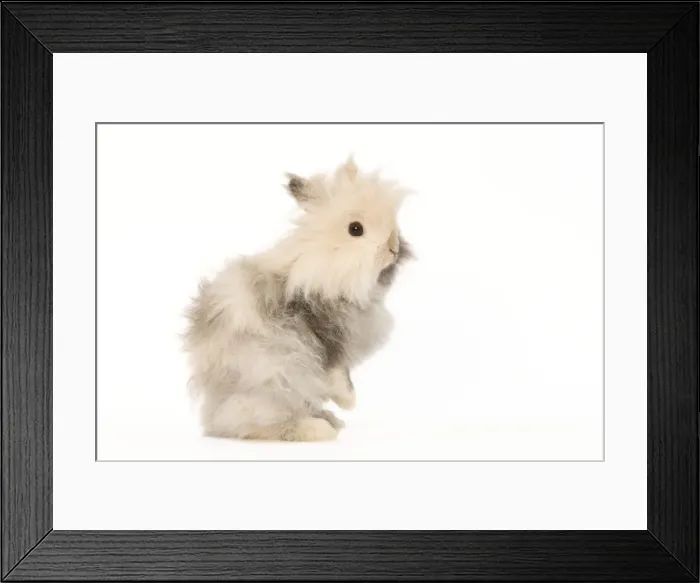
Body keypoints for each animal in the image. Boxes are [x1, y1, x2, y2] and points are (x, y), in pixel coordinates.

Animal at [183, 156, 412, 441]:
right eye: (355, 229)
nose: (394, 248)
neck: (324, 267)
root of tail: (212, 413)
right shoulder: (325, 340)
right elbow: (339, 376)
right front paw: (349, 402)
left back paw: (328, 419)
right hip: (273, 383)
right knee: (248, 425)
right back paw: (316, 429)